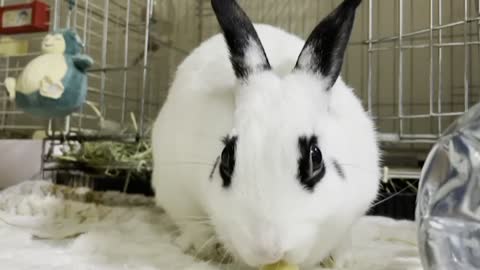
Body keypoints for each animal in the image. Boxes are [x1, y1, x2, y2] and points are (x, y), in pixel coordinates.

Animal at [152, 0, 380, 266]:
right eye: (226, 158)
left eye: (316, 158)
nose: (267, 251)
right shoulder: (176, 188)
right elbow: (191, 221)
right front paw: (207, 248)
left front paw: (339, 259)